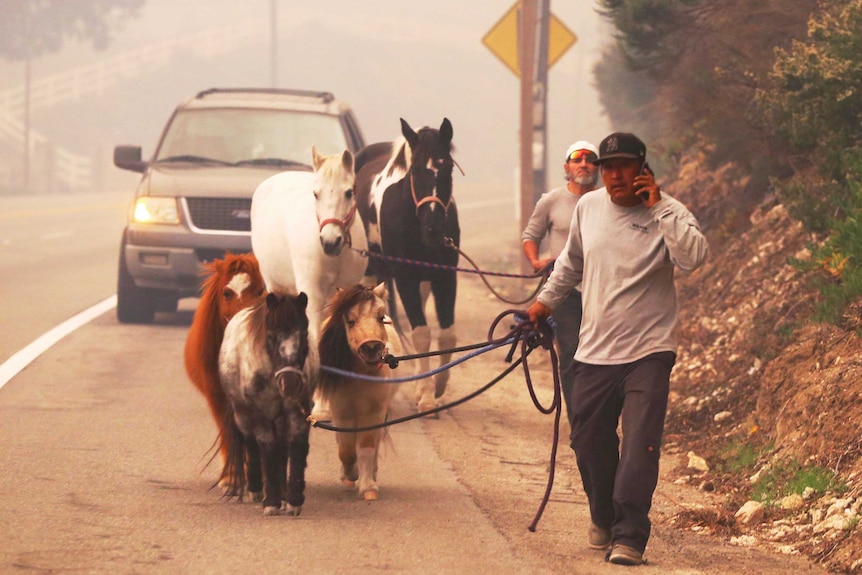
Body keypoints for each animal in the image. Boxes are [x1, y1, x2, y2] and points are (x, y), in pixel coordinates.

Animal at [218, 292, 312, 516]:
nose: (290, 383)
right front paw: (272, 502)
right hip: (242, 414)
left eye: (304, 333)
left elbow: (297, 445)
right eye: (271, 336)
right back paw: (256, 490)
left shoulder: (298, 411)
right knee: (251, 442)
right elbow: (267, 447)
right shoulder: (259, 413)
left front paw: (293, 500)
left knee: (283, 446)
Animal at [352, 117, 460, 414]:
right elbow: (421, 334)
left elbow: (446, 336)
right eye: (415, 171)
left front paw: (439, 388)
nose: (434, 228)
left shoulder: (446, 277)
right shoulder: (405, 278)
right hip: (371, 271)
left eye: (448, 167)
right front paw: (426, 396)